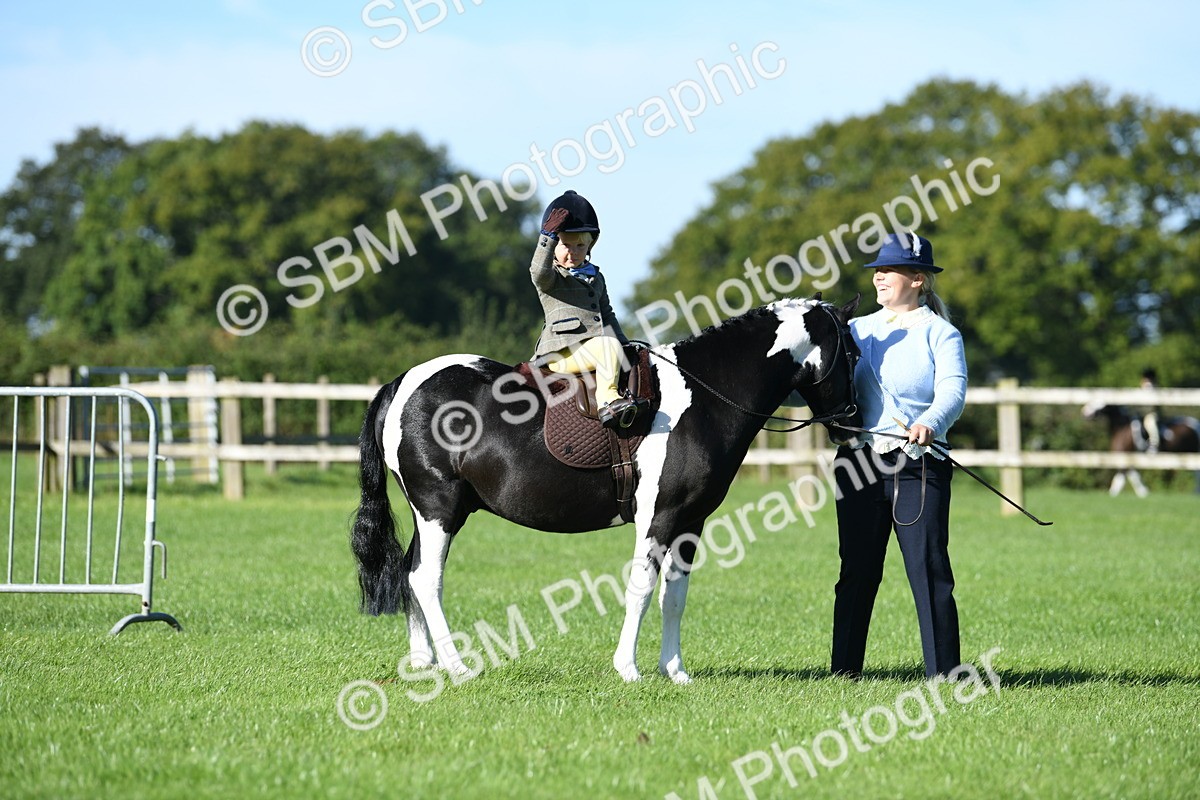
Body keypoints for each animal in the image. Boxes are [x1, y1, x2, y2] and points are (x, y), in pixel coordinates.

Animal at [350, 296, 861, 684]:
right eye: (853, 354)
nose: (851, 424)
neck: (704, 395)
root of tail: (402, 383)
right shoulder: (657, 518)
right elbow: (641, 588)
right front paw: (628, 668)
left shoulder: (690, 522)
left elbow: (674, 596)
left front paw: (675, 671)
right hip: (439, 510)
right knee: (425, 579)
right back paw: (456, 666)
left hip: (432, 515)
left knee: (408, 573)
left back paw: (423, 663)